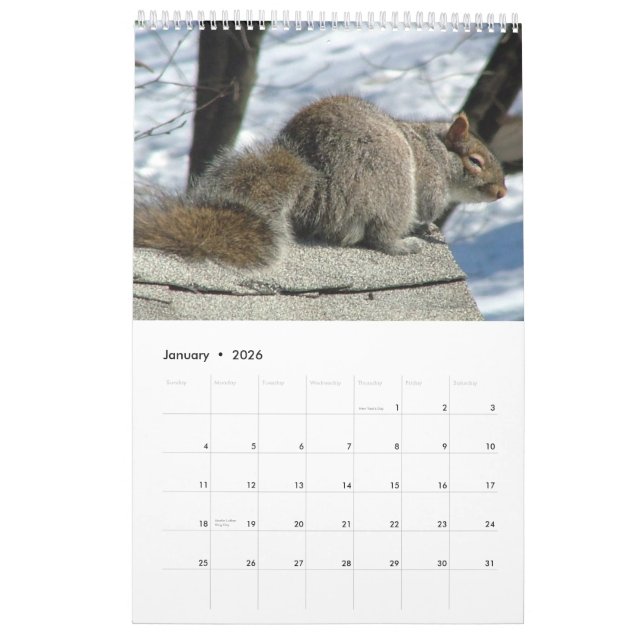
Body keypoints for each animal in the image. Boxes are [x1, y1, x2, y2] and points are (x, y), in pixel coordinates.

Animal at [134, 95, 507, 268]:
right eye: (475, 161)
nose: (502, 192)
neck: (434, 147)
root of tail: (320, 187)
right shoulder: (429, 178)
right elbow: (429, 207)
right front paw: (428, 227)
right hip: (393, 178)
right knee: (380, 235)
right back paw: (403, 245)